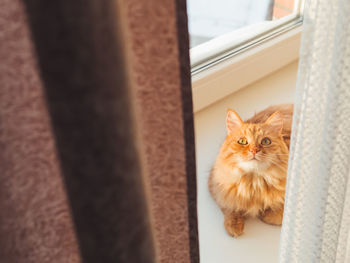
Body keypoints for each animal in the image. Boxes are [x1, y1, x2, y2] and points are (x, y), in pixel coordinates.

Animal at [211, 104, 292, 238]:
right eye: (242, 141)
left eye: (266, 141)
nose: (254, 150)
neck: (253, 182)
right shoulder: (216, 186)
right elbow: (230, 208)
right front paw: (234, 226)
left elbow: (273, 215)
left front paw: (263, 213)